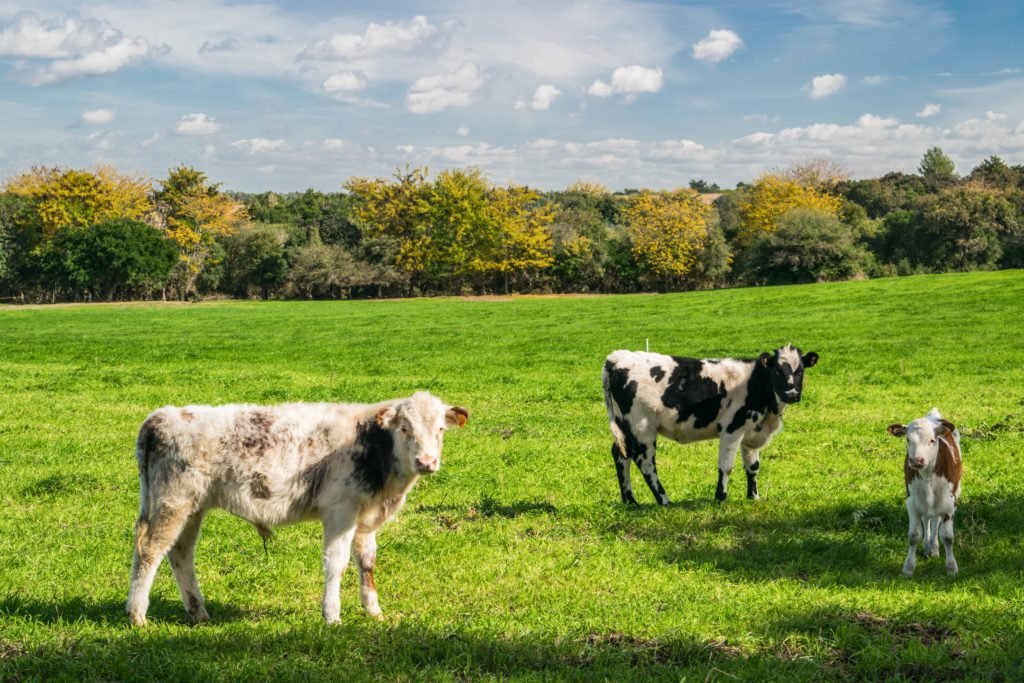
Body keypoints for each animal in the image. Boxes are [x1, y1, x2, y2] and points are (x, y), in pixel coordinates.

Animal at [124, 389, 471, 626]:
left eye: (440, 429)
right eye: (404, 428)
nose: (426, 462)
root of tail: (163, 415)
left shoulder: (365, 517)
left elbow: (367, 562)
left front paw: (373, 609)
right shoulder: (340, 511)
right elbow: (336, 563)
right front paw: (332, 615)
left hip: (192, 508)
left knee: (180, 553)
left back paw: (198, 611)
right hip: (173, 503)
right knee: (150, 550)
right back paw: (137, 614)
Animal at [602, 344, 819, 505]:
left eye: (800, 371)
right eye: (777, 371)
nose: (792, 394)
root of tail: (620, 357)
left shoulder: (751, 433)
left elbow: (753, 467)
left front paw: (753, 497)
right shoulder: (731, 430)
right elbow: (726, 466)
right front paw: (720, 497)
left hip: (625, 426)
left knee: (621, 454)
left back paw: (630, 501)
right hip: (642, 427)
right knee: (645, 462)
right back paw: (664, 500)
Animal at [884, 411, 962, 577]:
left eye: (932, 440)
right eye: (908, 439)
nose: (917, 460)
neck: (928, 477)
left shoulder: (949, 504)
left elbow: (947, 536)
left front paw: (951, 567)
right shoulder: (912, 503)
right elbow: (914, 536)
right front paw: (908, 568)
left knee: (935, 520)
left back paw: (934, 548)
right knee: (927, 520)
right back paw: (928, 547)